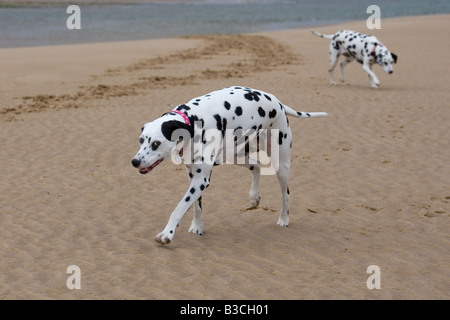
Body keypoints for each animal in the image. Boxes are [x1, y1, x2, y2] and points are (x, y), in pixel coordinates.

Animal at [131, 86, 326, 244]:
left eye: (156, 143)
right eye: (141, 140)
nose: (135, 161)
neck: (193, 121)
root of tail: (277, 102)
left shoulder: (200, 181)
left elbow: (179, 208)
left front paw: (167, 234)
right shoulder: (194, 177)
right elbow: (196, 206)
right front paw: (197, 227)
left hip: (281, 165)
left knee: (286, 193)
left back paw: (284, 219)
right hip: (236, 155)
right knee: (256, 166)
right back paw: (254, 196)